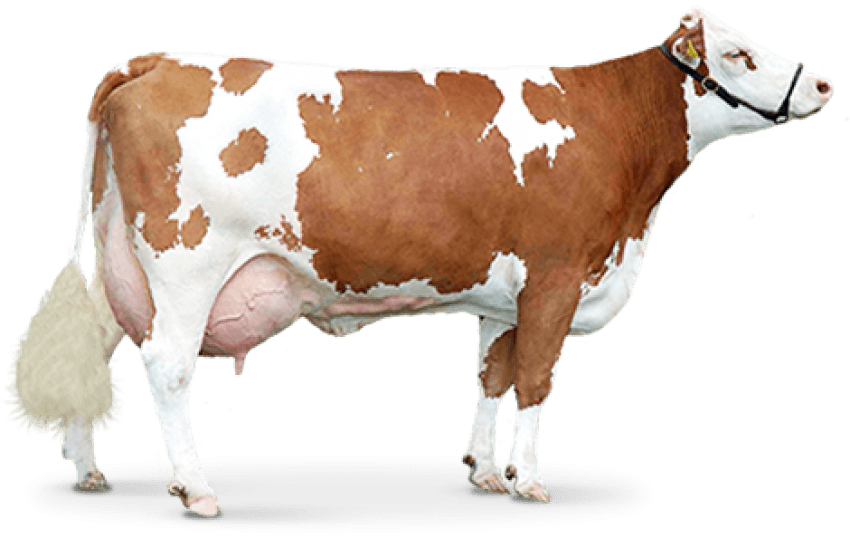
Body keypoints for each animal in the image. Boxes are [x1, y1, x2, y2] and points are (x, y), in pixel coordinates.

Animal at [3, 5, 834, 518]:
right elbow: (536, 382)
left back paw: (88, 471)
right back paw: (195, 487)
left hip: (121, 267)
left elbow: (492, 376)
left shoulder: (506, 295)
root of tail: (153, 60)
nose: (825, 84)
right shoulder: (558, 277)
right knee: (167, 366)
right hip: (186, 267)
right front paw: (532, 482)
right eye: (739, 53)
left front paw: (487, 473)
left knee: (92, 351)